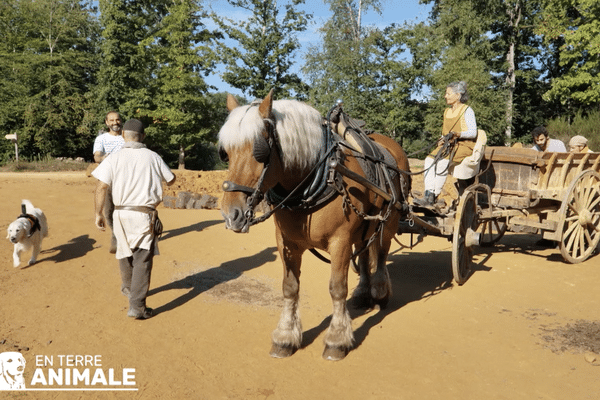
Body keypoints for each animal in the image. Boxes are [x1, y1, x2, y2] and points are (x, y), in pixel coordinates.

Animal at [218, 90, 410, 360]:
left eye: (260, 152)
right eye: (225, 152)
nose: (230, 214)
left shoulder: (340, 241)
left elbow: (337, 288)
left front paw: (336, 340)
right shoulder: (286, 242)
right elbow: (290, 287)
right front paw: (285, 337)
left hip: (390, 220)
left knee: (381, 253)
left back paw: (380, 292)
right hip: (365, 226)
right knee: (364, 255)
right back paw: (363, 293)